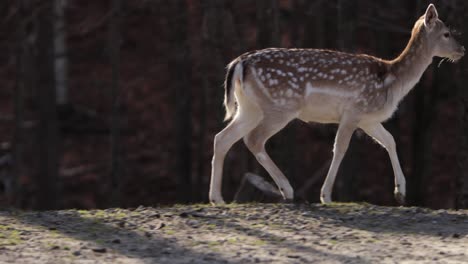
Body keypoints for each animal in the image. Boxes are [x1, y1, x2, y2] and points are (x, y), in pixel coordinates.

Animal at [209, 4, 464, 206]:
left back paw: (217, 198)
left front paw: (400, 193)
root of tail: (239, 63)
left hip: (249, 107)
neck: (392, 82)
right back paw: (287, 190)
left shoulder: (369, 119)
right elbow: (340, 148)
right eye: (446, 33)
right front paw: (326, 195)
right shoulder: (354, 111)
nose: (462, 50)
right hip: (281, 106)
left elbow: (390, 141)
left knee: (222, 138)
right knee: (253, 139)